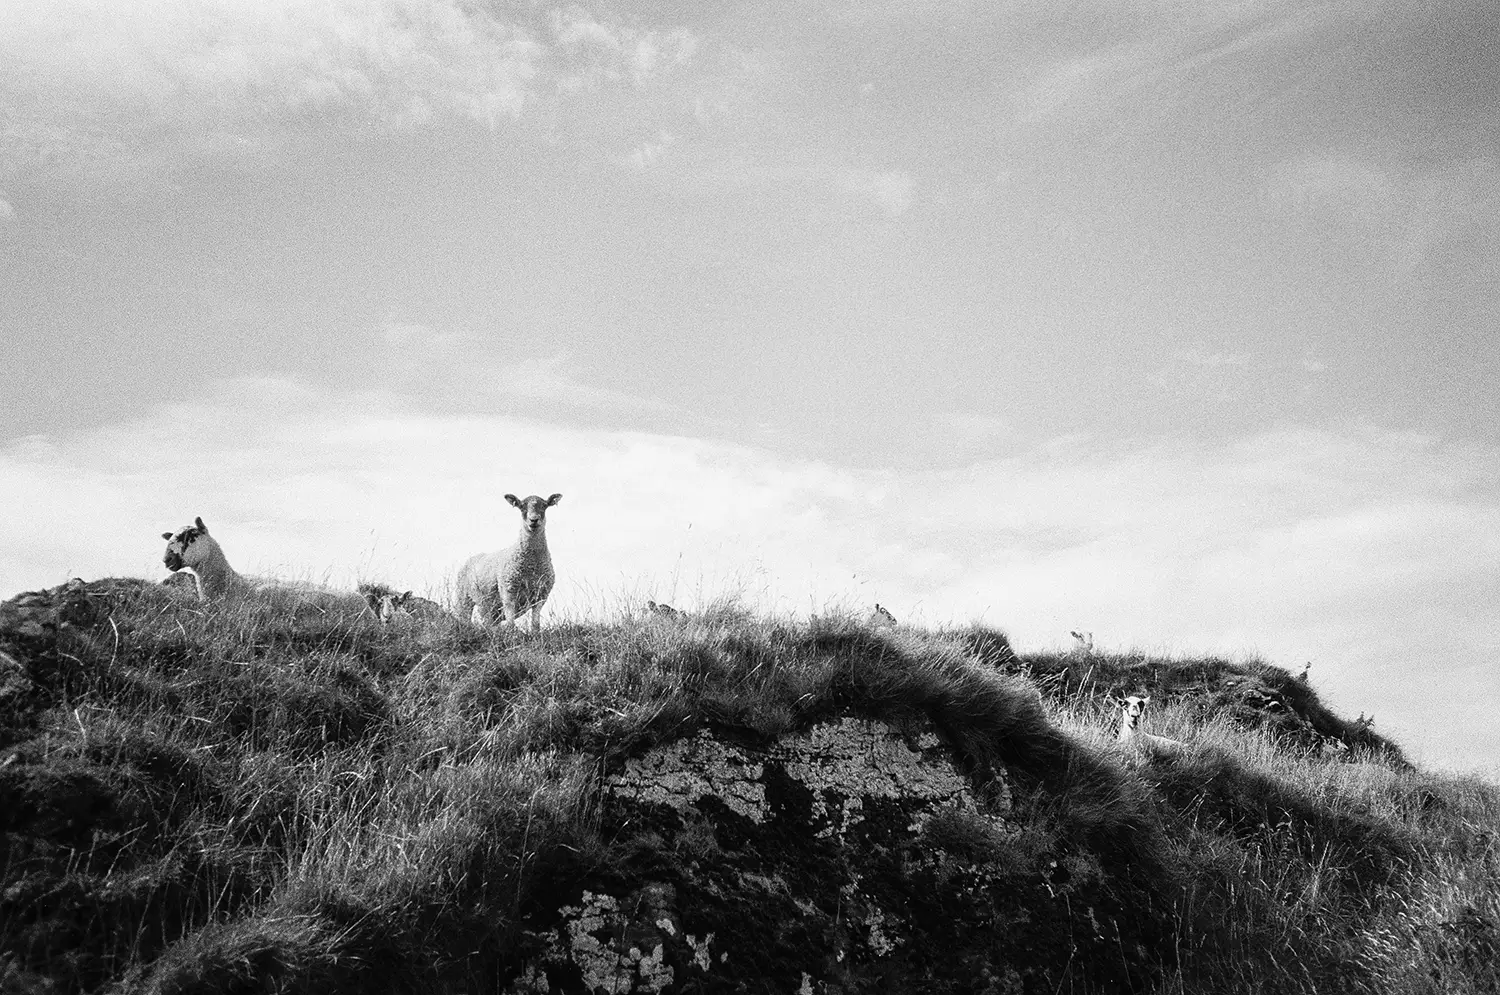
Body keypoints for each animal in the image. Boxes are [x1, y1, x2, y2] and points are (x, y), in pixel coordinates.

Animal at [454, 493, 562, 633]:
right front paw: (512, 633)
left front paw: (535, 633)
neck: (531, 564)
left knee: (488, 622)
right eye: (522, 506)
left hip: (490, 607)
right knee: (464, 617)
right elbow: (510, 622)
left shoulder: (541, 595)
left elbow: (535, 623)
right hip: (463, 597)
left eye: (544, 506)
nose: (533, 520)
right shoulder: (508, 591)